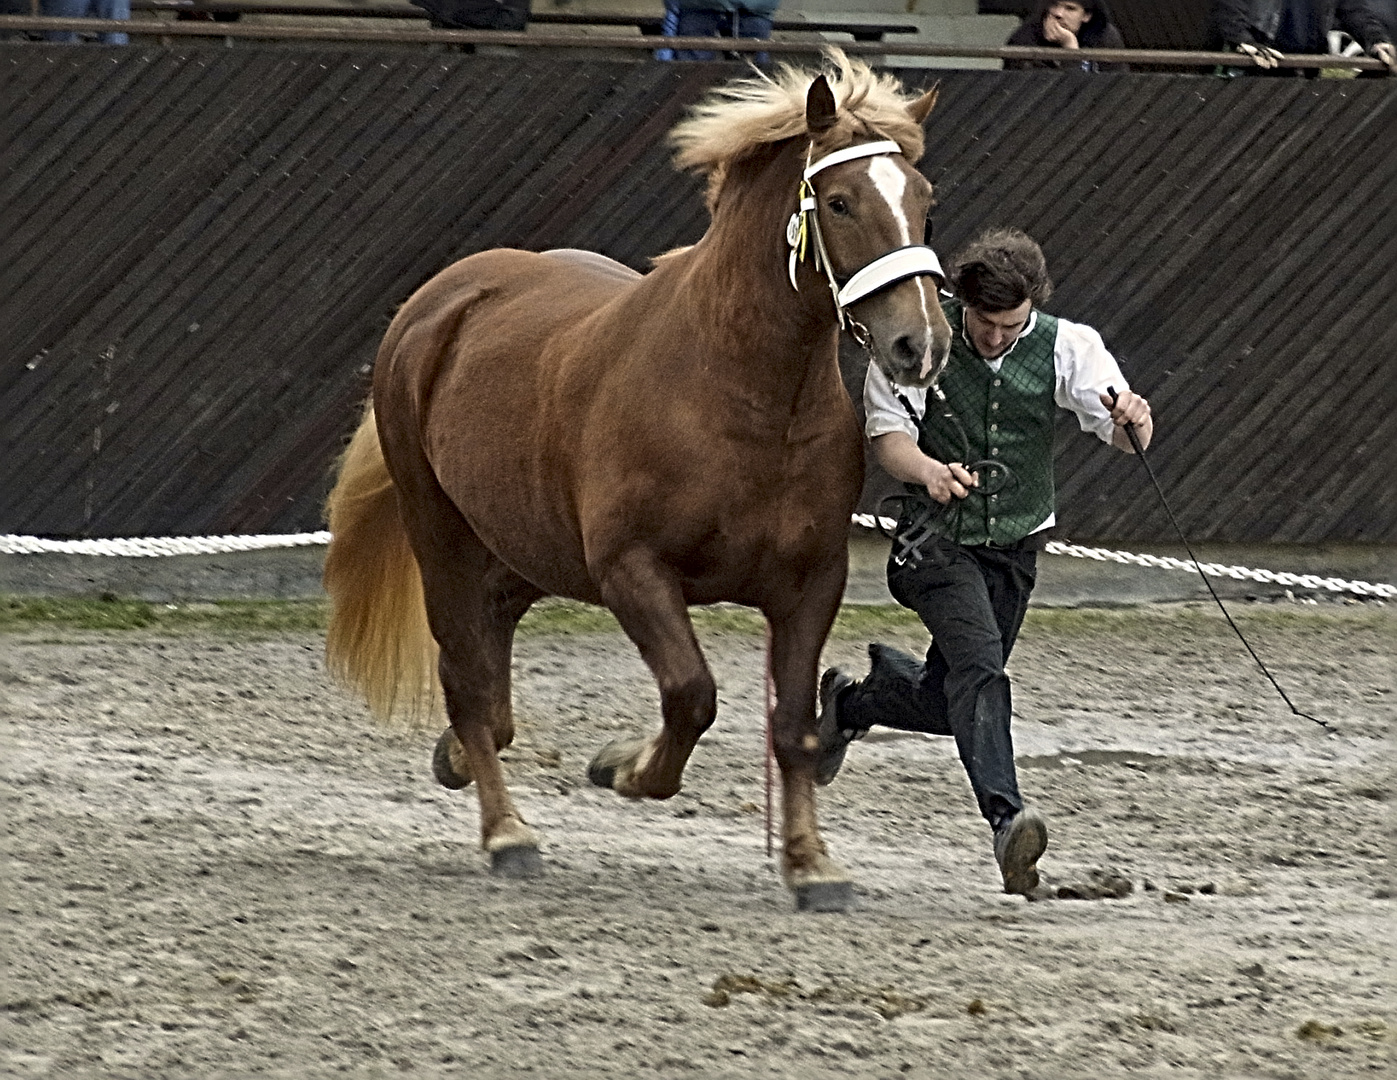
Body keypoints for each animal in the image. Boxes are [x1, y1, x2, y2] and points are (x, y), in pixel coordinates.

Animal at [319, 52, 949, 910]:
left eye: (922, 200)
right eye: (841, 201)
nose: (921, 344)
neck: (746, 397)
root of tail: (442, 300)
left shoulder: (810, 582)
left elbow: (792, 726)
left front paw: (811, 864)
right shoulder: (632, 571)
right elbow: (691, 695)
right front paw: (623, 769)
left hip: (531, 543)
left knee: (493, 636)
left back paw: (459, 759)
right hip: (440, 530)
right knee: (465, 673)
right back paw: (506, 832)